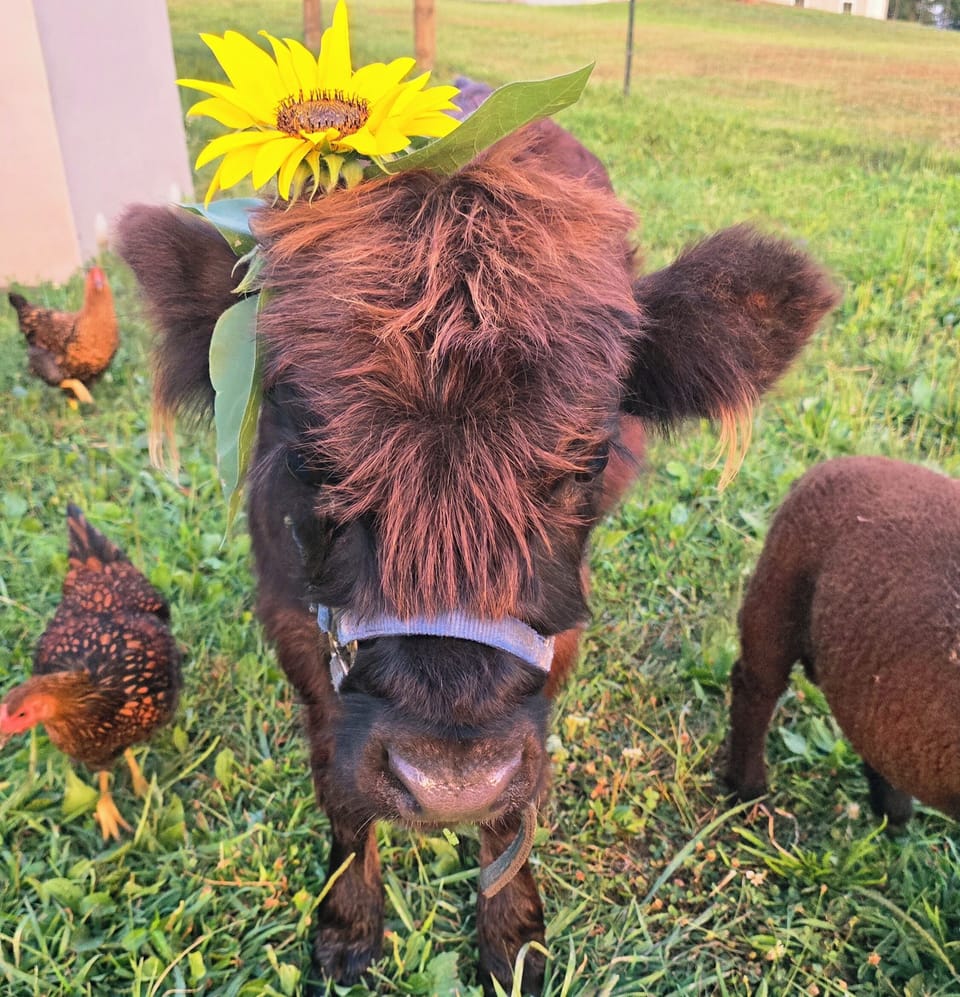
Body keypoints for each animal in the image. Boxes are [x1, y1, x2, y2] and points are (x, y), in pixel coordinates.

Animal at [116, 119, 839, 994]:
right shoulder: (295, 625)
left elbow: (513, 808)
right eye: (312, 458)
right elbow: (340, 787)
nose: (450, 783)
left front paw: (513, 934)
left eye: (587, 461)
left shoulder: (558, 638)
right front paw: (347, 926)